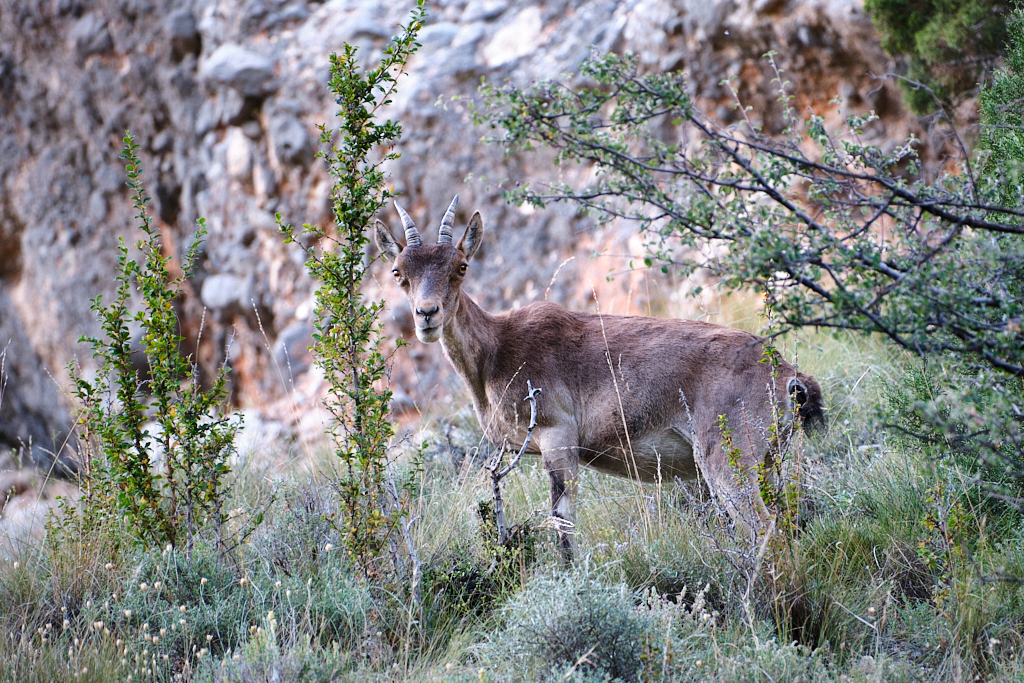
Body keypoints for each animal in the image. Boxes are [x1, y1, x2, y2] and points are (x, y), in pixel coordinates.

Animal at [376, 194, 823, 557]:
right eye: (399, 272)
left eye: (461, 266)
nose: (427, 315)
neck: (499, 348)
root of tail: (787, 375)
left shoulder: (558, 439)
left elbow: (563, 528)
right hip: (767, 463)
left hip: (728, 461)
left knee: (765, 531)